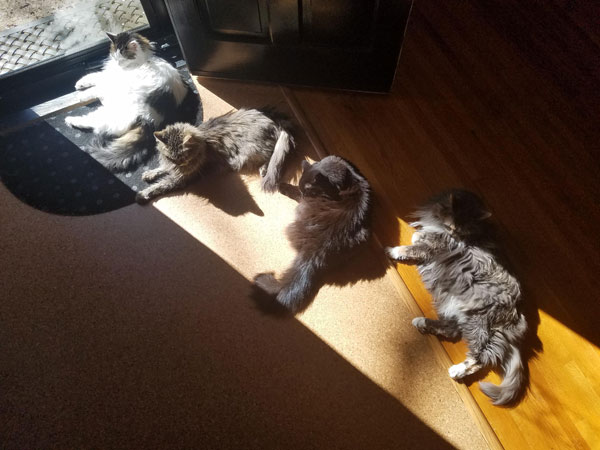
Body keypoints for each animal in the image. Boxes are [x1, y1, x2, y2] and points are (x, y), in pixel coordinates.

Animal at [65, 29, 198, 171]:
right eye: (114, 56)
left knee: (95, 122)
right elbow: (96, 75)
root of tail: (151, 122)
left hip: (114, 110)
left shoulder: (112, 82)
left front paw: (81, 95)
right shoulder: (110, 75)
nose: (117, 63)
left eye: (122, 58)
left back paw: (70, 120)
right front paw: (80, 83)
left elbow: (96, 87)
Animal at [135, 107, 296, 202]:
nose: (179, 165)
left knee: (271, 155)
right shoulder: (171, 167)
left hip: (252, 150)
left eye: (183, 158)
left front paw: (143, 194)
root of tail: (274, 121)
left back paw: (264, 169)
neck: (203, 145)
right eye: (171, 158)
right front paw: (150, 173)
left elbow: (160, 185)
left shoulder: (181, 178)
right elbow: (162, 169)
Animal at [253, 156, 370, 314]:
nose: (304, 195)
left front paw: (282, 186)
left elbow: (292, 191)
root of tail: (317, 250)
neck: (346, 178)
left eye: (309, 192)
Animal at [386, 188, 528, 406]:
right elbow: (418, 236)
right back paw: (421, 323)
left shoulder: (432, 247)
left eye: (459, 231)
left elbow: (411, 247)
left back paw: (456, 370)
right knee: (451, 330)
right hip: (452, 307)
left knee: (479, 357)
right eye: (450, 226)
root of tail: (515, 317)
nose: (454, 235)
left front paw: (392, 250)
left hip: (477, 322)